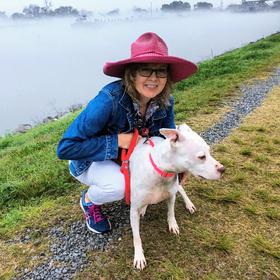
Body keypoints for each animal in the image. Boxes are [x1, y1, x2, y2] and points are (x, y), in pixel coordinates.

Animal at [130, 124, 225, 270]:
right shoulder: (133, 211)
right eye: (202, 157)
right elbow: (137, 237)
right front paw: (139, 256)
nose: (223, 169)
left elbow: (171, 213)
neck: (162, 172)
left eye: (209, 152)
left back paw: (189, 204)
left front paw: (173, 225)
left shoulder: (171, 196)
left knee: (181, 190)